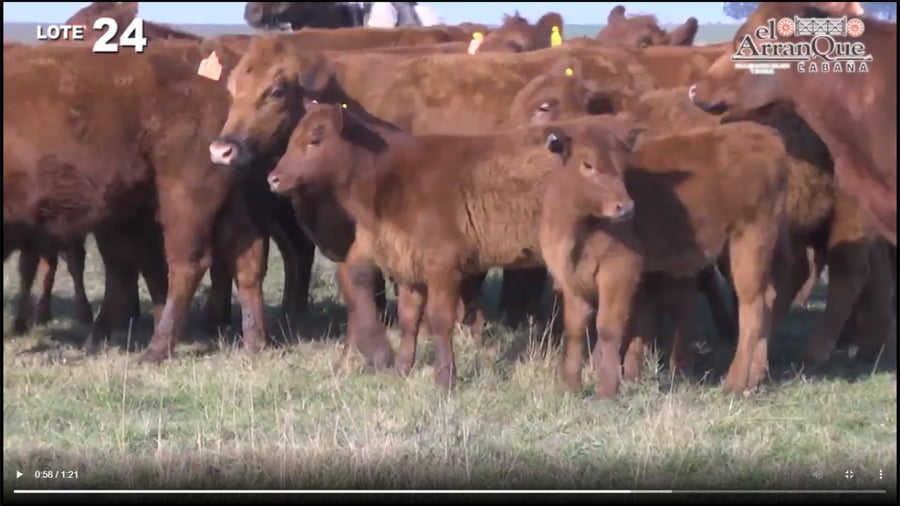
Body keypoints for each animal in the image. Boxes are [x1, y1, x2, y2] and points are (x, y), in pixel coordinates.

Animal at [265, 102, 637, 389]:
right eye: (292, 138)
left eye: (314, 140)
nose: (273, 178)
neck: (395, 178)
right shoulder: (407, 265)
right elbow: (409, 319)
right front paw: (402, 368)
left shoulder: (443, 267)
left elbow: (440, 320)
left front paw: (445, 378)